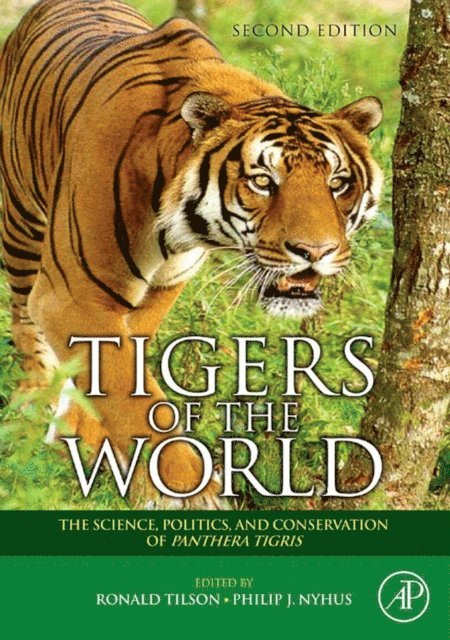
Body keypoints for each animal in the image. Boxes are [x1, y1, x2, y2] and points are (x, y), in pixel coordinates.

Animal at [0, 0, 383, 509]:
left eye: (337, 183)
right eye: (263, 181)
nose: (315, 251)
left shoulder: (161, 286)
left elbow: (119, 371)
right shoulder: (73, 293)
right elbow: (124, 385)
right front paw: (186, 492)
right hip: (22, 227)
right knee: (26, 330)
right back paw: (30, 423)